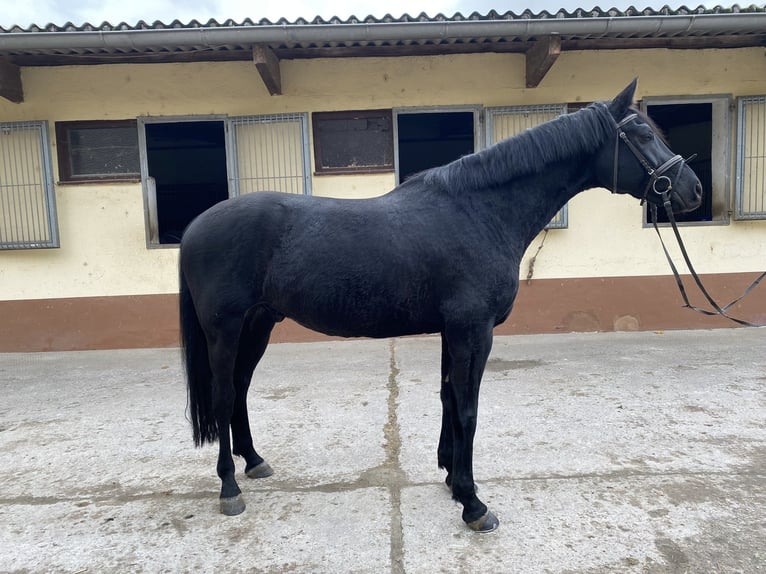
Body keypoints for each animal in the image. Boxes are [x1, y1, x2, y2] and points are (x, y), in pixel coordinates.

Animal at [179, 79, 702, 532]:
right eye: (641, 135)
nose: (692, 189)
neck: (480, 212)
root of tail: (195, 227)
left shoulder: (455, 330)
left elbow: (450, 397)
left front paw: (451, 478)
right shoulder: (475, 329)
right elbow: (468, 407)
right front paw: (473, 503)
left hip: (259, 324)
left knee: (240, 390)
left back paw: (255, 461)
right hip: (225, 330)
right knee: (223, 395)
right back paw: (229, 489)